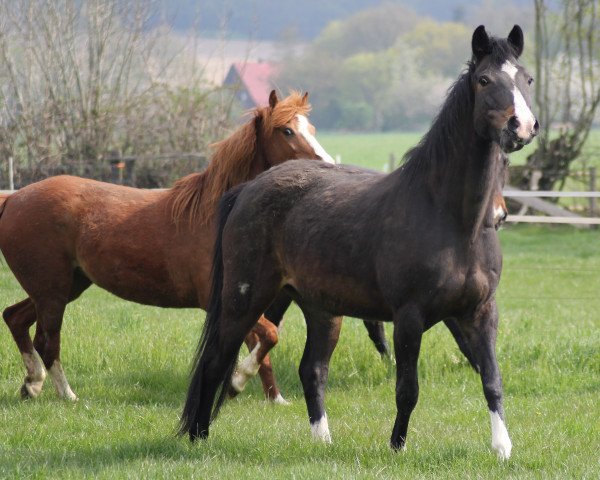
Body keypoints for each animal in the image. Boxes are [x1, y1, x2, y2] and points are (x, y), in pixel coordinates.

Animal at [0, 90, 342, 402]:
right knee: (47, 341)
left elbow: (264, 345)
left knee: (15, 318)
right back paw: (68, 395)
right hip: (52, 291)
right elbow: (269, 336)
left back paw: (32, 384)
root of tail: (14, 199)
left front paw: (273, 398)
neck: (218, 216)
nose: (328, 167)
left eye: (311, 129)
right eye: (287, 130)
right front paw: (237, 382)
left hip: (66, 286)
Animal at [180, 26, 536, 462]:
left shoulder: (481, 312)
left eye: (526, 78)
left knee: (312, 370)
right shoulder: (409, 317)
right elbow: (407, 390)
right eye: (484, 80)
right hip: (245, 298)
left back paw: (322, 442)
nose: (522, 126)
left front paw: (502, 448)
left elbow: (492, 380)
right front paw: (397, 447)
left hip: (320, 309)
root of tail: (247, 189)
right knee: (216, 360)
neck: (451, 220)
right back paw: (198, 437)